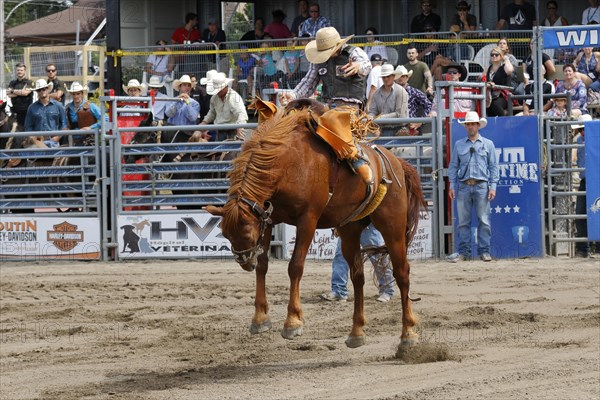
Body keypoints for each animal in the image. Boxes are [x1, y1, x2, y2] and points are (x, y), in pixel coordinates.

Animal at [206, 98, 426, 348]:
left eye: (245, 232)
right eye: (225, 234)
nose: (244, 262)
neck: (287, 163)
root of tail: (396, 162)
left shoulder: (307, 220)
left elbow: (295, 266)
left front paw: (292, 321)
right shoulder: (268, 219)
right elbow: (262, 265)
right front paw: (260, 318)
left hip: (392, 226)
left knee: (402, 273)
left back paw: (408, 333)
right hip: (349, 229)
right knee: (358, 276)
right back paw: (356, 332)